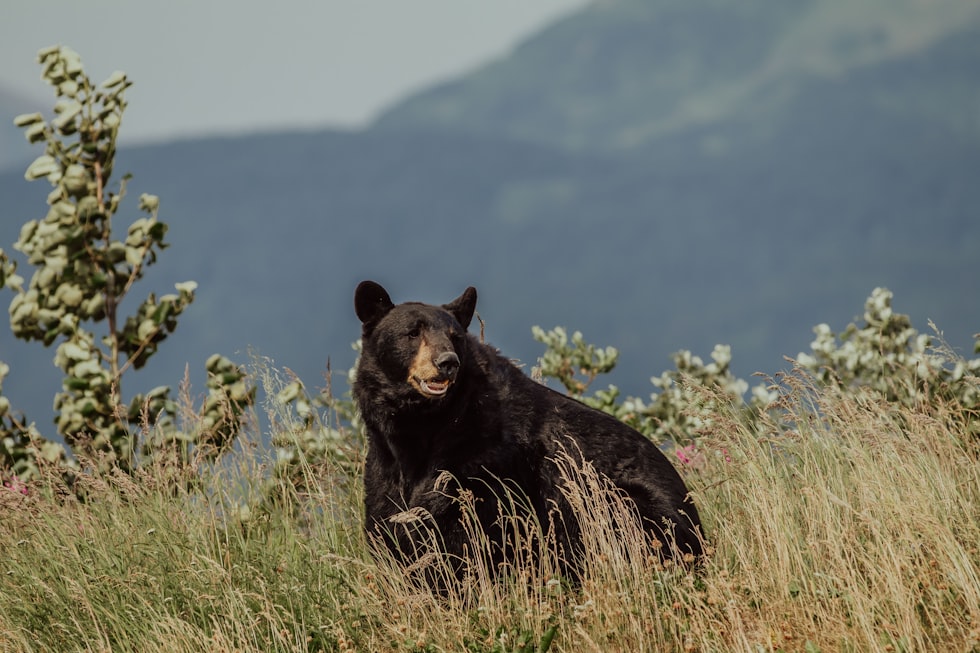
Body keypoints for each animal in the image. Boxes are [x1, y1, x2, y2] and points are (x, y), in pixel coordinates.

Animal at [352, 280, 703, 586]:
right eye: (412, 333)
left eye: (455, 337)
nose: (447, 361)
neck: (424, 426)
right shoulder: (384, 463)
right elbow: (390, 521)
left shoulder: (485, 460)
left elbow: (466, 530)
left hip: (623, 503)